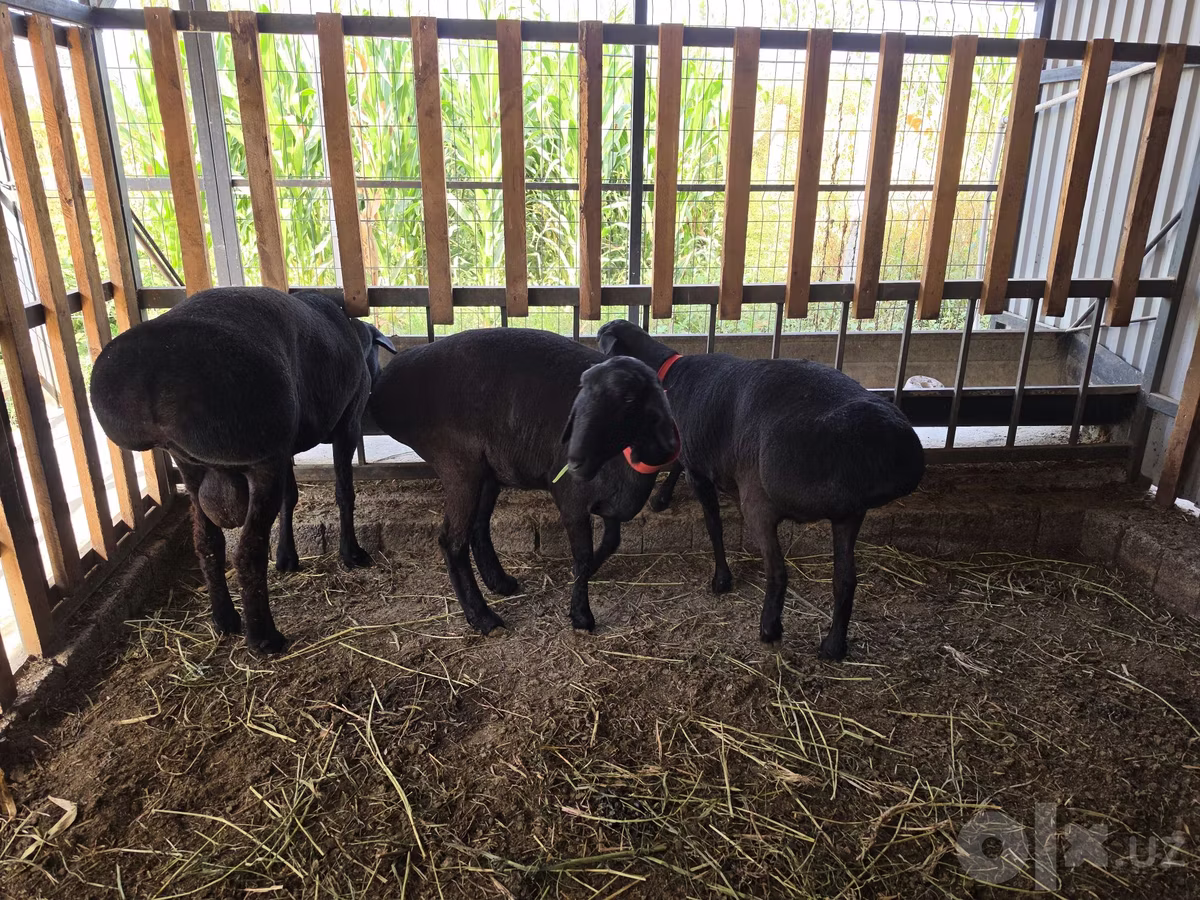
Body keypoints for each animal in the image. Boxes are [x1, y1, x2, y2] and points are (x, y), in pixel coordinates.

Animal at [90, 286, 396, 653]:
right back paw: (264, 637)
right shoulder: (346, 425)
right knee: (248, 553)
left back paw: (225, 619)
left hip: (193, 465)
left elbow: (290, 498)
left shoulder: (283, 448)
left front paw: (287, 558)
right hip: (260, 457)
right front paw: (350, 553)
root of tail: (151, 379)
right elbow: (343, 491)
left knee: (208, 542)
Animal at [367, 328, 678, 634]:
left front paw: (586, 576)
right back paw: (483, 618)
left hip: (487, 470)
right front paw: (581, 615)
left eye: (629, 400)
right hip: (459, 465)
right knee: (452, 542)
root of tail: (386, 385)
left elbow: (611, 541)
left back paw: (501, 583)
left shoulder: (610, 502)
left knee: (478, 528)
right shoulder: (572, 499)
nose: (575, 460)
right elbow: (582, 554)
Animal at [597, 319, 925, 660]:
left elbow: (713, 524)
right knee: (845, 579)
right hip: (849, 514)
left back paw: (770, 629)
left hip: (759, 502)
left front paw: (721, 579)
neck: (665, 371)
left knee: (779, 571)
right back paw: (833, 646)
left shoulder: (700, 471)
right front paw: (661, 498)